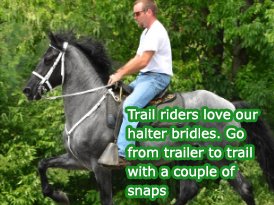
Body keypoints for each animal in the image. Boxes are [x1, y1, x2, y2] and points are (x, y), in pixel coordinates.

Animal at [23, 31, 274, 204]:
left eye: (48, 59)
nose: (28, 90)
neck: (89, 105)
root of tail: (230, 105)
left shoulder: (100, 167)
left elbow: (106, 200)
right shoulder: (76, 160)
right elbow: (42, 164)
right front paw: (58, 194)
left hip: (220, 156)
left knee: (244, 188)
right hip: (189, 159)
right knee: (188, 190)